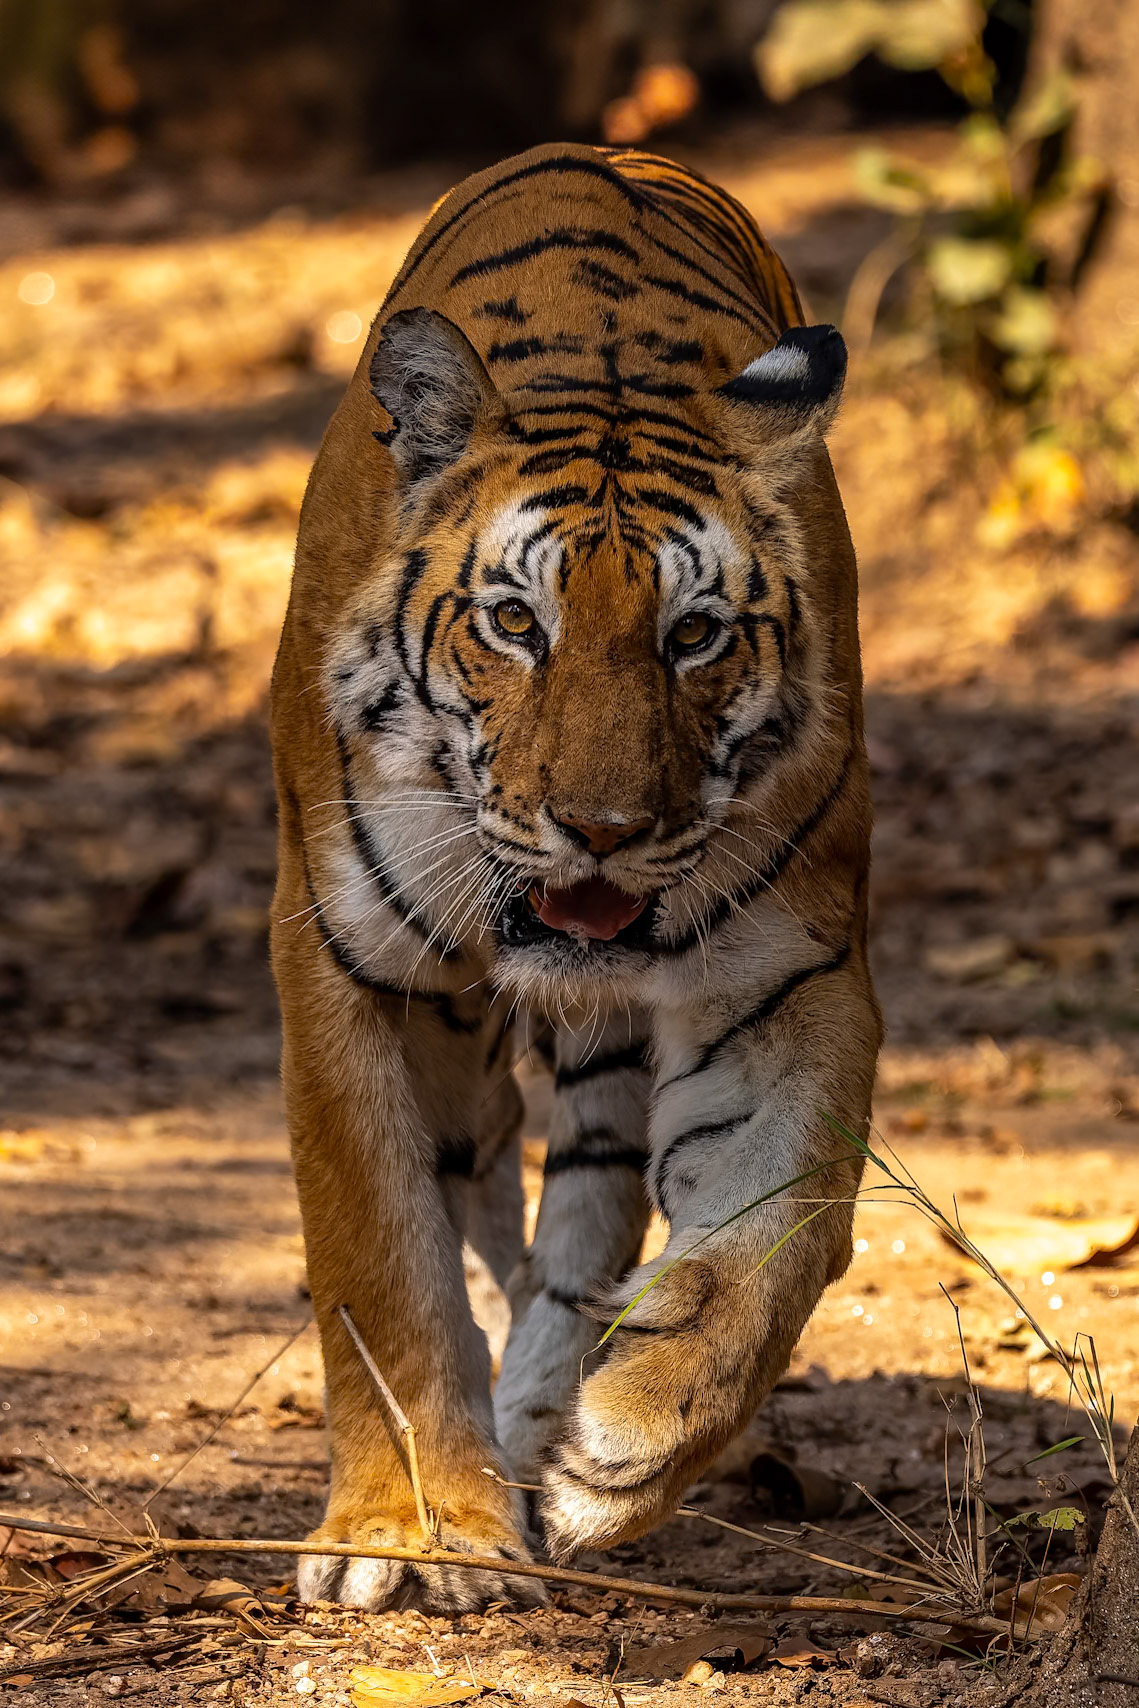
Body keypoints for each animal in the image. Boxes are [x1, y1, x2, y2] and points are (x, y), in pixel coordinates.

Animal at [270, 140, 882, 1613]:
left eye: (694, 634)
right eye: (513, 622)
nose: (599, 829)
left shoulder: (787, 971)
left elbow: (778, 1226)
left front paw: (630, 1445)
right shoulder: (344, 954)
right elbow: (374, 1252)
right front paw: (407, 1530)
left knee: (590, 1203)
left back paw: (553, 1423)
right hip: (454, 1038)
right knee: (484, 1174)